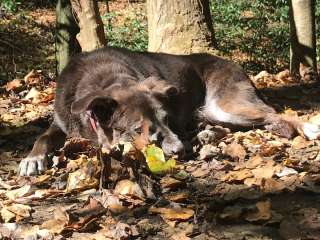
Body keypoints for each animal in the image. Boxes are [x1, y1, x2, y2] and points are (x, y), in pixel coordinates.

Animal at [18, 47, 320, 175]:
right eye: (138, 129)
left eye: (167, 120)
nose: (180, 152)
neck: (106, 79)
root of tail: (236, 64)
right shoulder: (61, 123)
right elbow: (43, 137)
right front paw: (32, 159)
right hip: (214, 112)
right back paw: (207, 134)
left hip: (226, 105)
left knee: (272, 112)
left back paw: (306, 126)